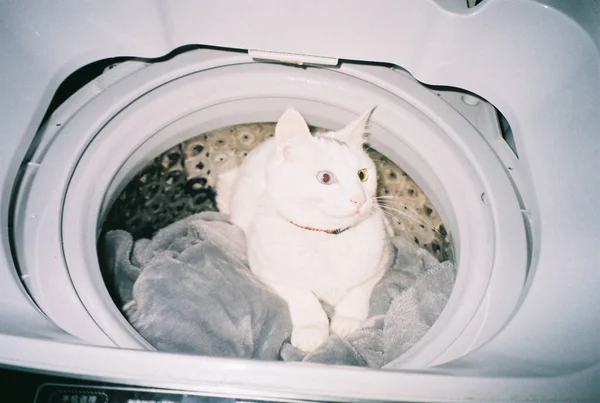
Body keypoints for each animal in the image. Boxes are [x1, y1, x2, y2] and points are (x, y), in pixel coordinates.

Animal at [218, 109, 392, 352]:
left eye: (362, 175)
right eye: (325, 177)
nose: (360, 199)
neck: (327, 239)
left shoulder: (382, 260)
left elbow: (359, 289)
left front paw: (347, 319)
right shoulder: (266, 270)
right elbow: (301, 294)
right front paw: (312, 329)